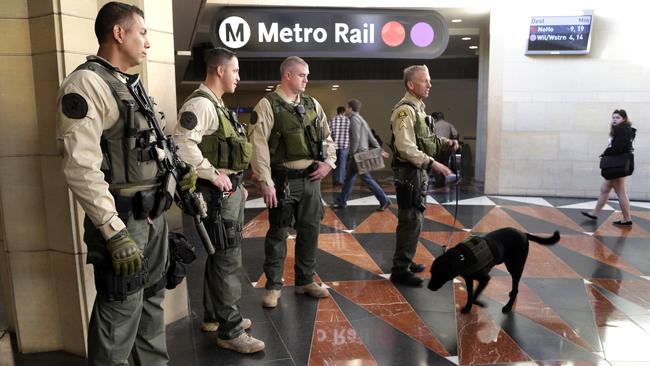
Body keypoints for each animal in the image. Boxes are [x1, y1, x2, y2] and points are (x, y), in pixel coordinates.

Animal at [426, 227, 556, 314]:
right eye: (431, 273)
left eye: (438, 275)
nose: (428, 287)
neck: (462, 256)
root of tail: (523, 234)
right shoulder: (469, 278)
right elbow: (470, 294)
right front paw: (468, 307)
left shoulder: (485, 279)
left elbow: (475, 295)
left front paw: (479, 303)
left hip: (515, 267)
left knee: (516, 288)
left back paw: (508, 307)